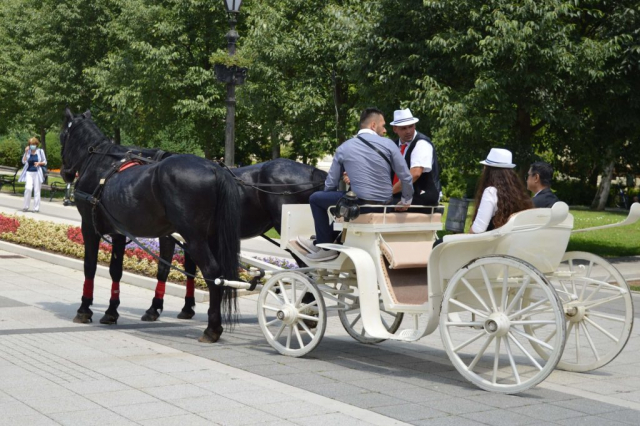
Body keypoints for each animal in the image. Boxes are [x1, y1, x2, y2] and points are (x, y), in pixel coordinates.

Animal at [60, 110, 240, 342]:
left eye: (63, 135)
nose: (65, 173)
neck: (99, 164)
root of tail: (214, 168)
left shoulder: (89, 228)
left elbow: (89, 267)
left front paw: (84, 309)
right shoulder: (118, 233)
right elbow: (115, 271)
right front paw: (111, 311)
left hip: (195, 239)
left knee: (212, 272)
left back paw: (212, 328)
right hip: (213, 237)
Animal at [142, 158, 328, 322]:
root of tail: (313, 172)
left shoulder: (173, 235)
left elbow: (164, 268)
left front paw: (154, 309)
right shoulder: (193, 236)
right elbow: (190, 270)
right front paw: (188, 308)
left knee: (307, 269)